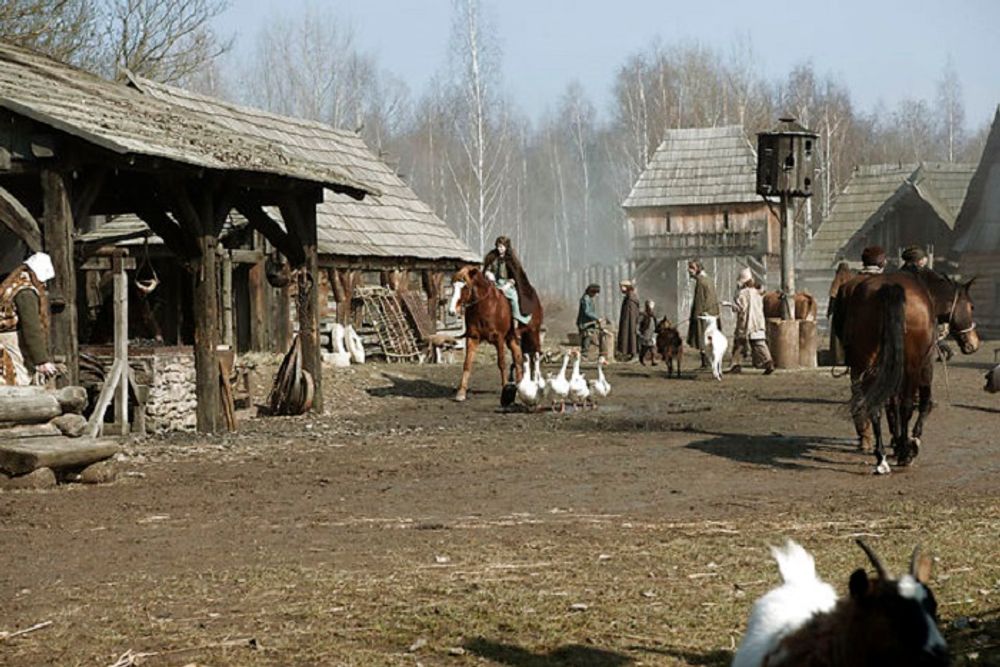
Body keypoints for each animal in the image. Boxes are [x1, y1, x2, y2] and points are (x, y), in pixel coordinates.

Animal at [447, 265, 544, 402]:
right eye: (453, 285)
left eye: (465, 286)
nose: (451, 311)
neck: (485, 305)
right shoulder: (473, 337)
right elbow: (467, 363)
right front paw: (461, 392)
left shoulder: (499, 338)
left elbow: (501, 363)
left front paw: (505, 388)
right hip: (512, 339)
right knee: (518, 357)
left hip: (533, 332)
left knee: (535, 355)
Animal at [832, 271, 979, 474]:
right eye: (971, 306)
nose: (973, 344)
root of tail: (890, 288)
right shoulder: (924, 367)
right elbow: (923, 403)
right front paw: (911, 442)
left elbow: (892, 405)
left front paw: (897, 441)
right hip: (911, 366)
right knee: (907, 405)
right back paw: (904, 454)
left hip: (866, 364)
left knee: (875, 406)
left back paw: (881, 457)